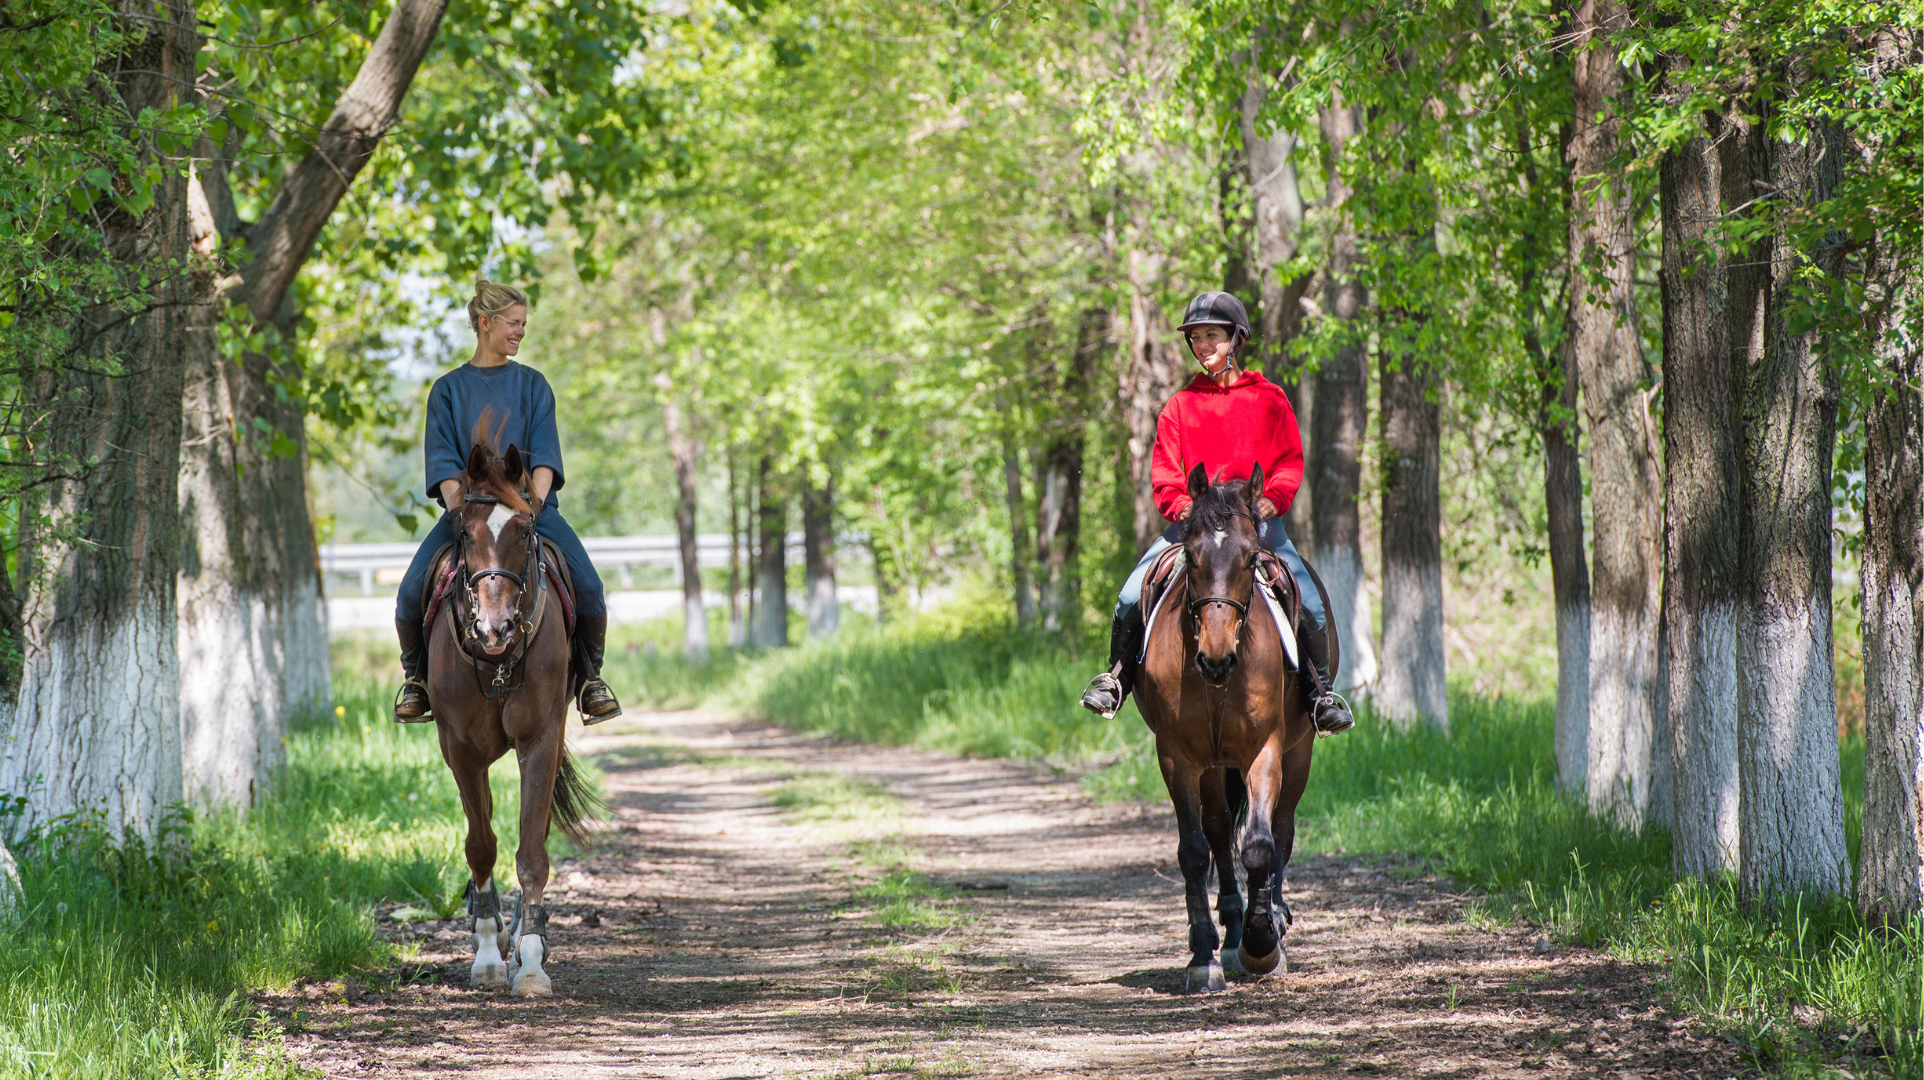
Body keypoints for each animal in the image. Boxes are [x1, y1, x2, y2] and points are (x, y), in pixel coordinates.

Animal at [426, 432, 597, 998]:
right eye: (465, 530)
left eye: (525, 530)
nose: (494, 628)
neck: (498, 660)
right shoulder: (460, 750)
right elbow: (481, 846)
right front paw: (486, 955)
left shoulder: (540, 740)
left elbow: (532, 854)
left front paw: (531, 963)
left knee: (535, 836)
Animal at [1133, 461, 1323, 993]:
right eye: (1191, 557)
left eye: (1250, 559)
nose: (1215, 660)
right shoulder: (1177, 756)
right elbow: (1196, 851)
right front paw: (1205, 955)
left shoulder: (1265, 749)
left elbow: (1259, 845)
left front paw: (1262, 946)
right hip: (1214, 765)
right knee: (1219, 831)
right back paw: (1233, 927)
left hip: (1298, 752)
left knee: (1281, 829)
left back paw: (1271, 919)